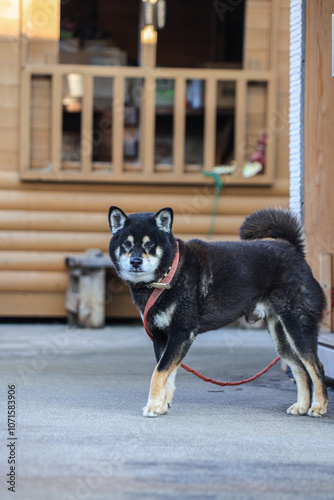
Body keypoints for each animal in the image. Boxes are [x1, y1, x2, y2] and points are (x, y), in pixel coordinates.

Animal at [108, 206, 328, 418]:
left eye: (149, 244)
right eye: (126, 244)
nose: (135, 261)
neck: (168, 275)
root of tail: (294, 251)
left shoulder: (181, 334)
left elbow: (159, 372)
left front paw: (153, 406)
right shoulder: (162, 337)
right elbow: (166, 374)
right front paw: (161, 406)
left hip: (298, 327)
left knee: (316, 367)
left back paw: (318, 406)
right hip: (281, 338)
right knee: (299, 368)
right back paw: (301, 406)